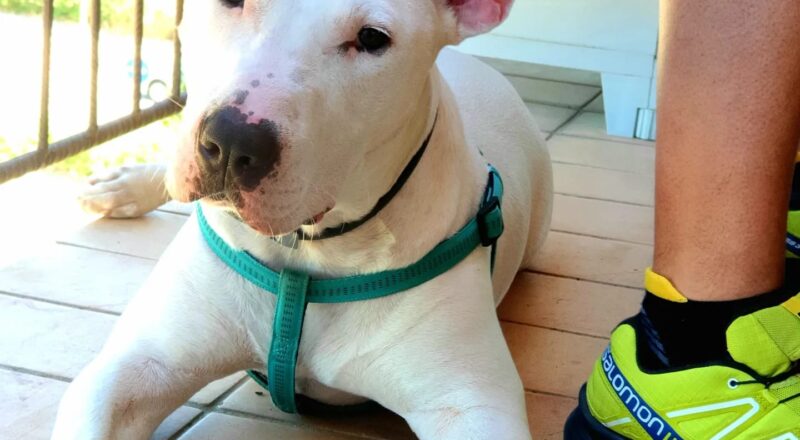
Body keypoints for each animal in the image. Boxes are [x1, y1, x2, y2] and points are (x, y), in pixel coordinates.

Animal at [56, 0, 553, 438]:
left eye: (372, 38)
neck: (309, 250)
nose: (232, 141)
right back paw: (124, 185)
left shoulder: (470, 403)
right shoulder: (134, 371)